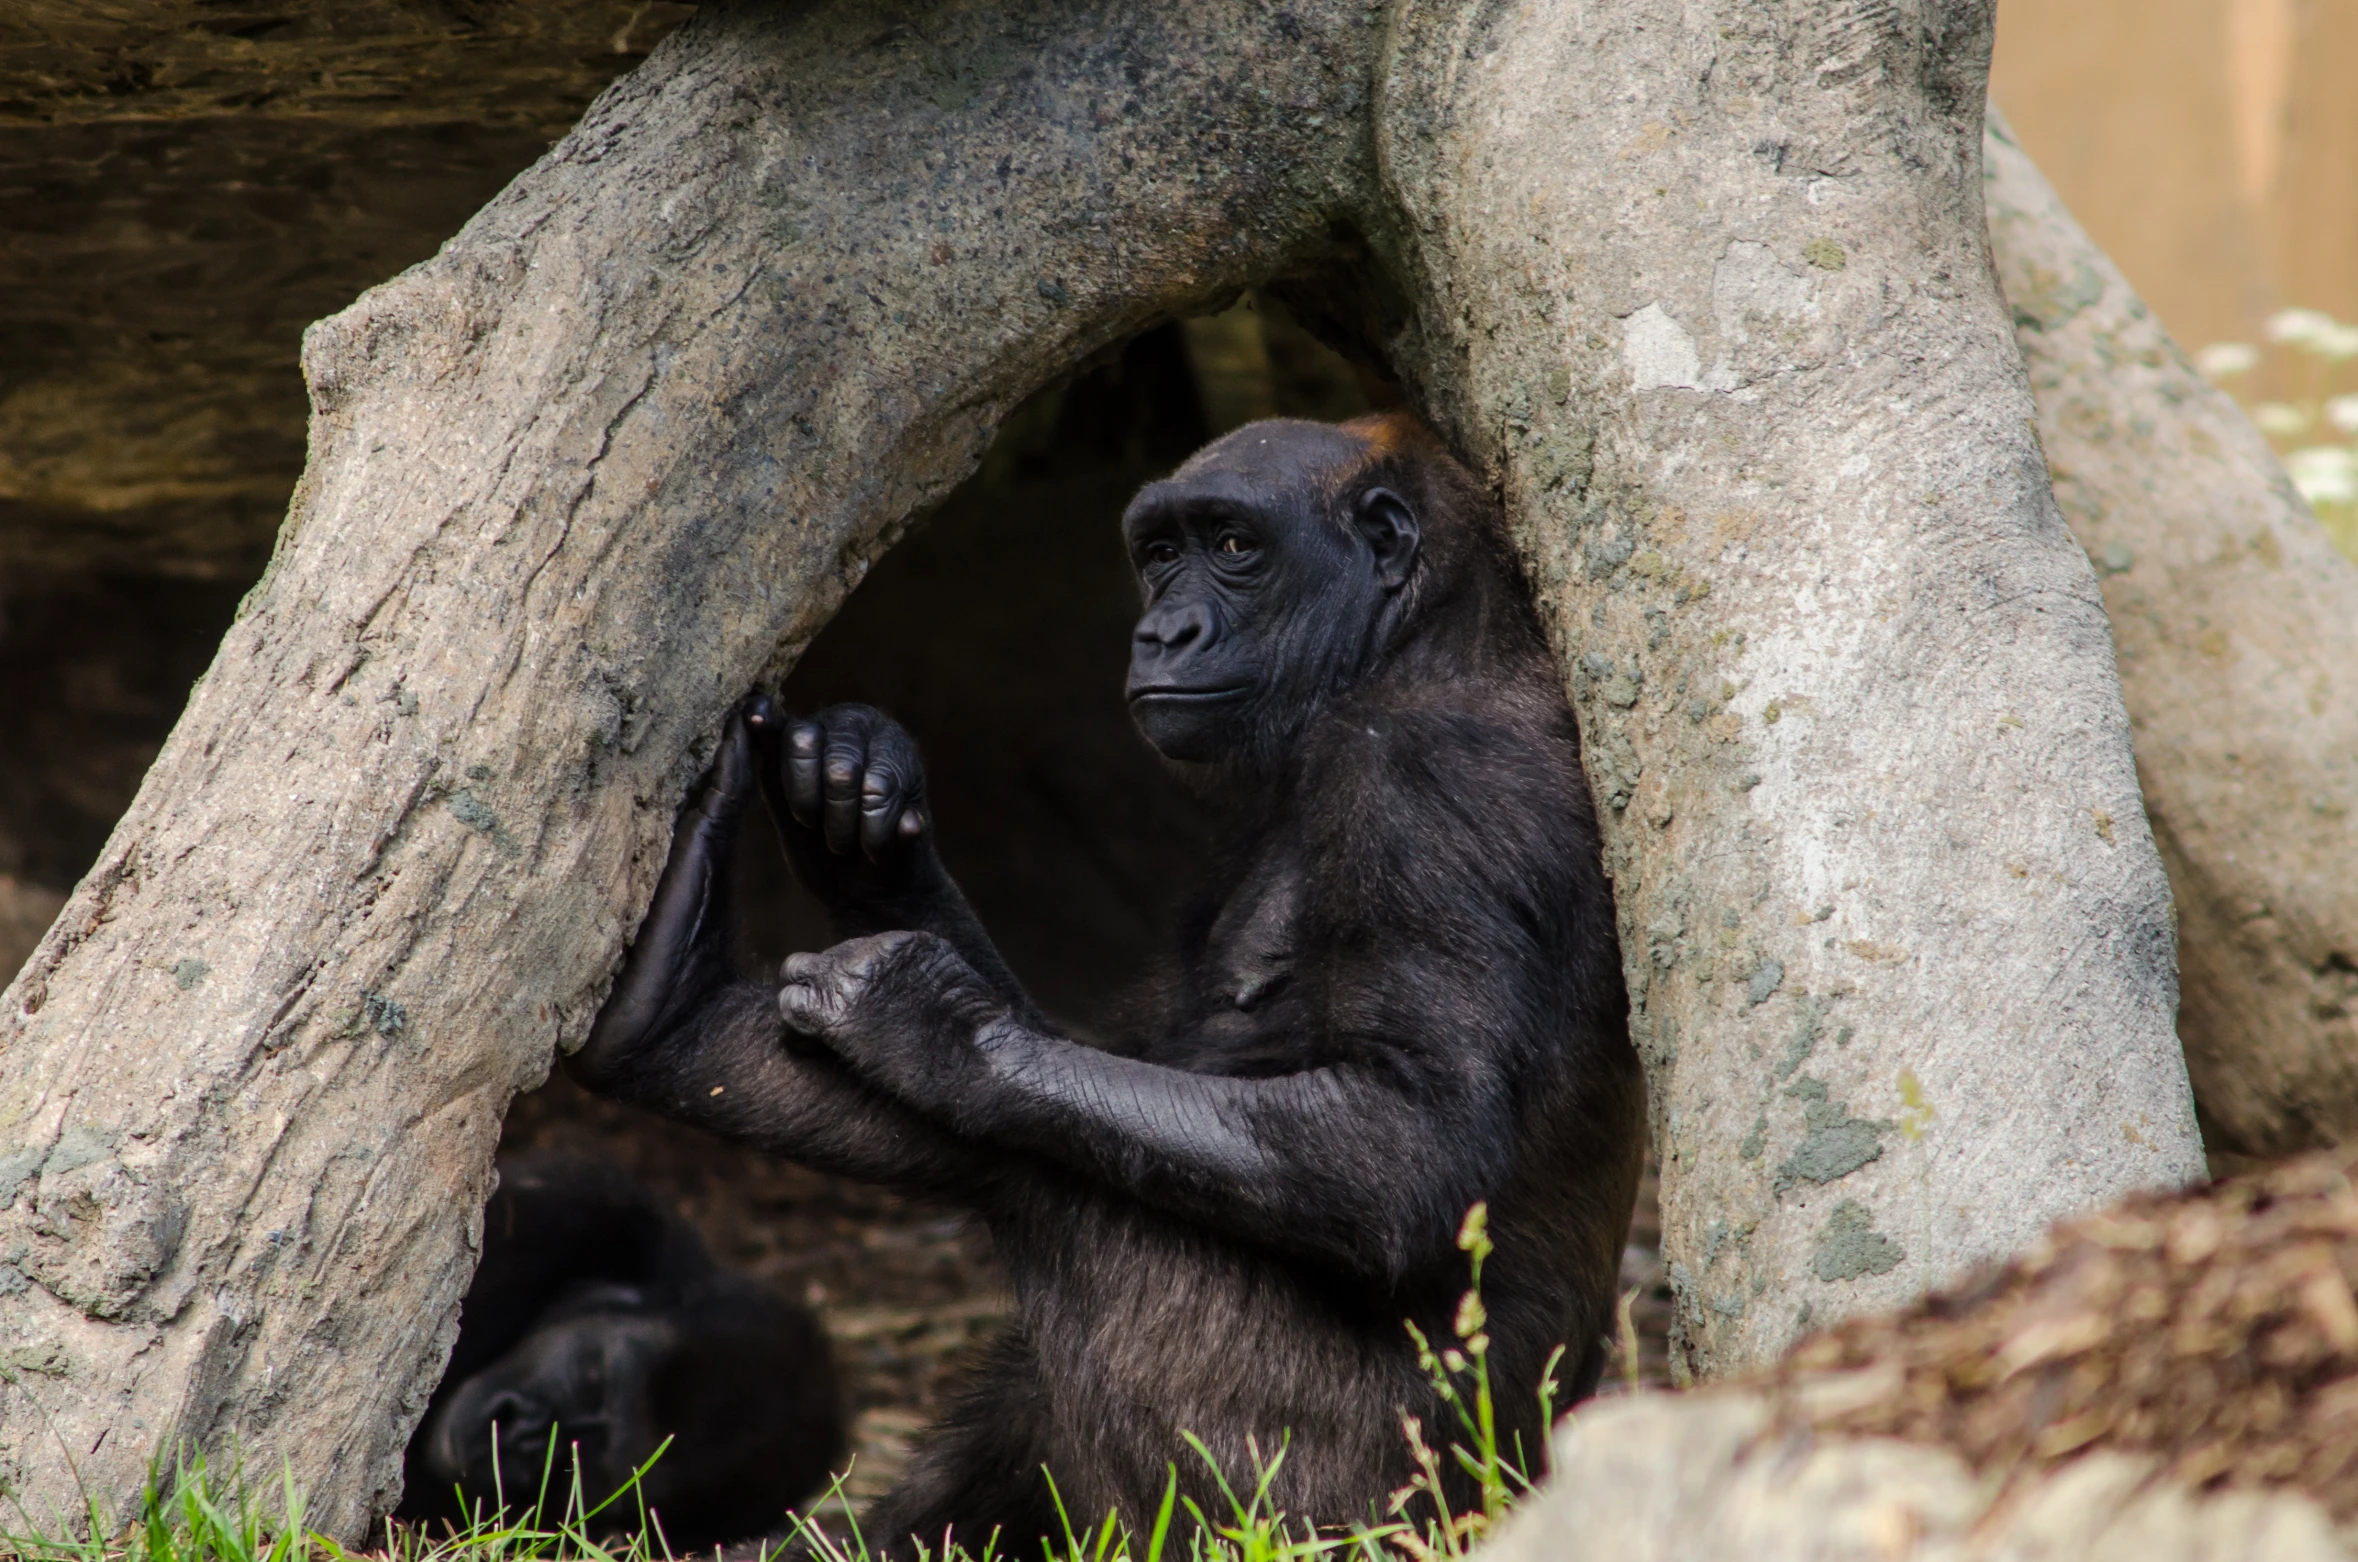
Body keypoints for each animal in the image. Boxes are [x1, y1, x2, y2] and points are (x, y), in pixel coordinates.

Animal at [568, 415, 1641, 1562]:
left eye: (1233, 545)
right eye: (1161, 552)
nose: (1163, 629)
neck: (1421, 645)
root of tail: (1508, 1491)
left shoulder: (1426, 786)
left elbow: (1408, 1138)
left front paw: (936, 1032)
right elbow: (1118, 1072)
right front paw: (857, 804)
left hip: (1325, 1507)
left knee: (1027, 1174)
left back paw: (670, 1013)